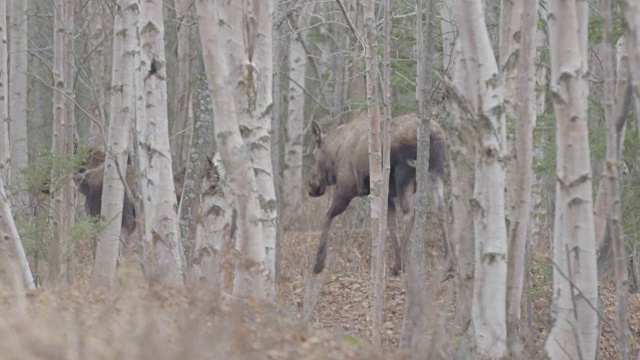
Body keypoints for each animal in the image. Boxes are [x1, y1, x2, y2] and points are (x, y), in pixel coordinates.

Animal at [308, 112, 444, 276]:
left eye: (314, 155)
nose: (311, 185)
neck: (334, 156)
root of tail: (432, 133)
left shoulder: (347, 189)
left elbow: (328, 216)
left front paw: (318, 263)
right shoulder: (388, 195)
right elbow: (392, 225)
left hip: (404, 175)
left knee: (410, 214)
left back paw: (397, 266)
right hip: (436, 169)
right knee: (441, 207)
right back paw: (450, 263)